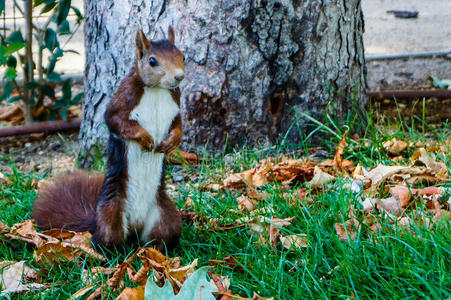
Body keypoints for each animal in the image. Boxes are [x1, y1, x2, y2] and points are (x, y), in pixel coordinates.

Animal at [32, 26, 185, 251]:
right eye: (152, 61)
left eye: (183, 56)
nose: (179, 77)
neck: (157, 90)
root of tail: (135, 226)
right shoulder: (123, 99)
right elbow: (115, 121)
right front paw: (146, 138)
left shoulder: (175, 104)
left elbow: (178, 125)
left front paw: (171, 142)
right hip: (111, 214)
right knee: (103, 240)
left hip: (166, 217)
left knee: (161, 236)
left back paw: (158, 250)